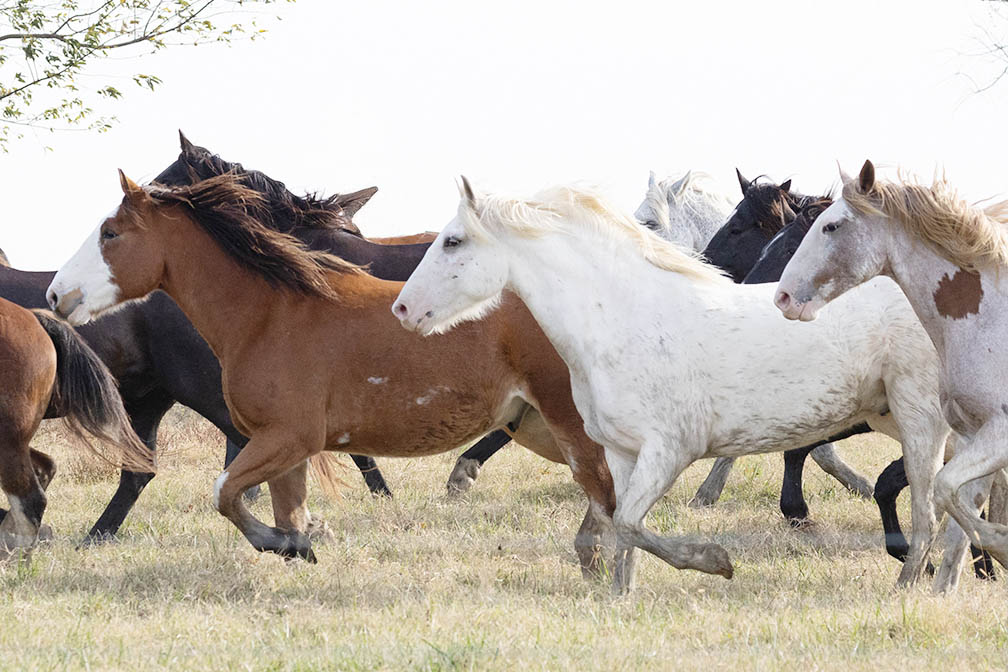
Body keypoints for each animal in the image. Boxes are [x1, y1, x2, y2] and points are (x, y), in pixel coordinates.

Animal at [47, 171, 617, 574]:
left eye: (110, 233)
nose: (56, 295)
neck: (268, 314)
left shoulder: (288, 436)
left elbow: (225, 492)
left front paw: (291, 542)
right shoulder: (283, 448)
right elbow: (275, 507)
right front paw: (298, 543)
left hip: (567, 422)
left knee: (609, 489)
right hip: (536, 426)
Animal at [393, 178, 951, 594]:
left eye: (453, 241)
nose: (403, 308)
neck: (626, 319)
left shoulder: (670, 449)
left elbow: (629, 524)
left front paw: (715, 560)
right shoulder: (623, 453)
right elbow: (622, 531)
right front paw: (620, 597)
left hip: (920, 423)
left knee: (927, 515)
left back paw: (908, 587)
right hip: (898, 421)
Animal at [776, 160, 1008, 588]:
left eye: (832, 226)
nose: (782, 296)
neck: (989, 324)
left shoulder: (996, 433)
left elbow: (944, 493)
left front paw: (1001, 547)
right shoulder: (973, 436)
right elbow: (956, 515)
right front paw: (940, 588)